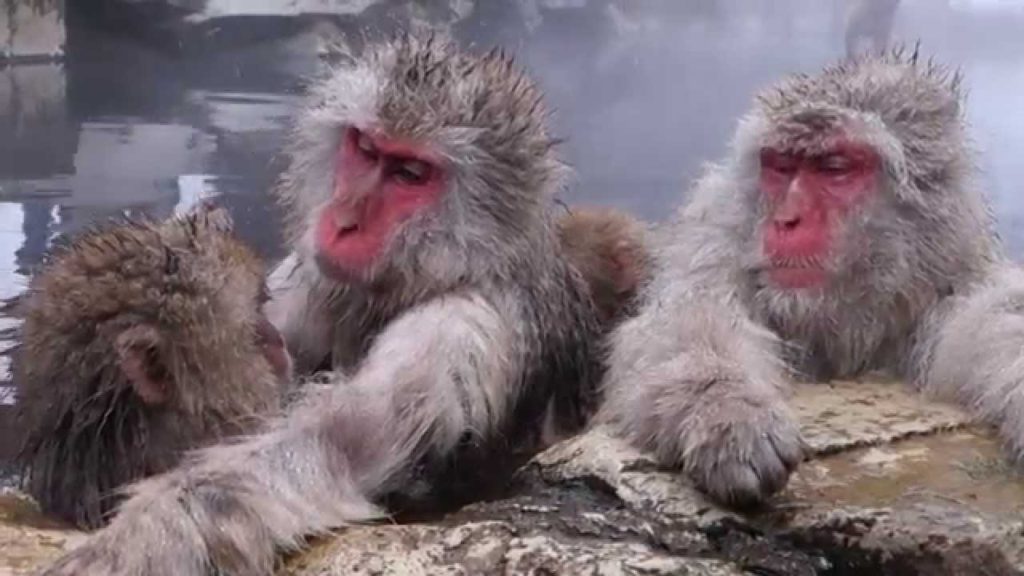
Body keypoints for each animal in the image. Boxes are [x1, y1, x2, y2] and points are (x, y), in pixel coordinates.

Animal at [597, 47, 1020, 509]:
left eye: (834, 168)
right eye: (782, 166)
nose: (786, 220)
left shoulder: (951, 286)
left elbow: (1002, 316)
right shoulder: (718, 247)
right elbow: (686, 317)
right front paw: (727, 411)